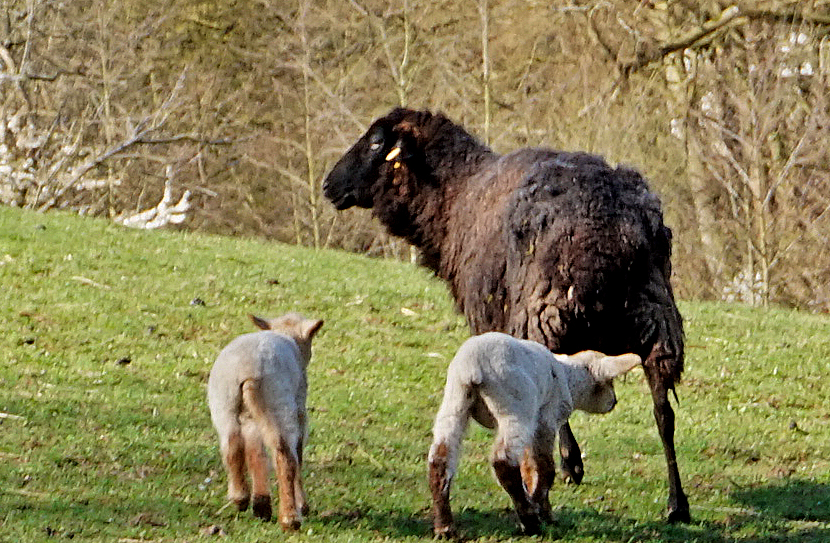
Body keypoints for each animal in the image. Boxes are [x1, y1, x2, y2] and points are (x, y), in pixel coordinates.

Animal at [206, 314, 324, 532]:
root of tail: (248, 368)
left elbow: (255, 452)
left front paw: (260, 503)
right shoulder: (300, 409)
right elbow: (297, 453)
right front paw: (303, 506)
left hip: (224, 405)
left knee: (234, 446)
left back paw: (242, 498)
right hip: (278, 403)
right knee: (285, 456)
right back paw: (290, 519)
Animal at [428, 334, 644, 536]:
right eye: (610, 382)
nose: (614, 402)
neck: (568, 377)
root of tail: (473, 366)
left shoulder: (533, 426)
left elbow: (528, 468)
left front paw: (542, 507)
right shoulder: (545, 419)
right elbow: (544, 467)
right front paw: (541, 510)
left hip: (456, 400)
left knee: (440, 459)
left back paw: (445, 527)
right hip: (515, 406)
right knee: (503, 462)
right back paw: (530, 521)